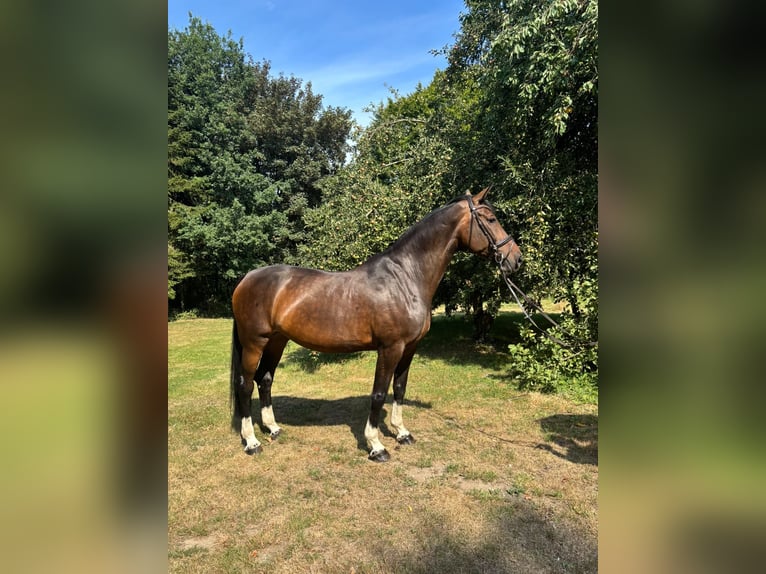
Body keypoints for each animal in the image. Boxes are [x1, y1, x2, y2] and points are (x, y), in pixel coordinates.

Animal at [230, 187, 522, 462]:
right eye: (491, 219)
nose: (515, 258)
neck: (405, 277)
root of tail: (247, 278)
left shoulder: (410, 348)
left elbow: (399, 388)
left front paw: (402, 433)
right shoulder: (390, 348)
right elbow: (379, 393)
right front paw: (376, 446)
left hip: (277, 341)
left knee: (265, 379)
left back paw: (273, 428)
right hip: (255, 342)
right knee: (245, 384)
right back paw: (252, 442)